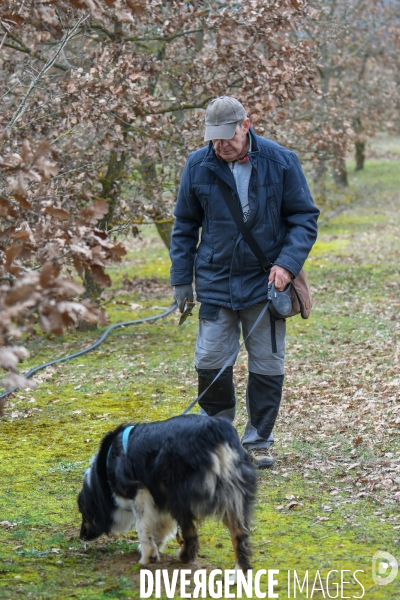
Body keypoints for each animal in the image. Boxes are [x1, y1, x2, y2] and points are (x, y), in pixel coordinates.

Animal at [77, 412, 256, 572]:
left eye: (84, 513)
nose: (81, 536)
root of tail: (216, 430)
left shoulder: (139, 491)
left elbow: (143, 527)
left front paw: (148, 556)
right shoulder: (158, 495)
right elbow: (158, 525)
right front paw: (155, 546)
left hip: (179, 496)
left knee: (191, 534)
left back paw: (184, 557)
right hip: (233, 495)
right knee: (240, 533)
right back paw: (240, 572)